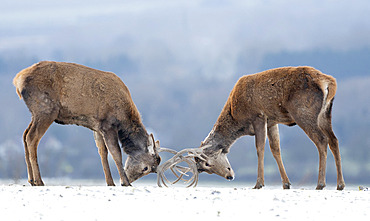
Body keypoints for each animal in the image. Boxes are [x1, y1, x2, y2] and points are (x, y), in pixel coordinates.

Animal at [13, 60, 161, 186]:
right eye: (146, 168)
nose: (129, 179)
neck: (123, 117)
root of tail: (17, 80)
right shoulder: (108, 124)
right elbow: (116, 153)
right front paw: (125, 182)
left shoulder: (97, 127)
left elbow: (102, 152)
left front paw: (110, 183)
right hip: (46, 109)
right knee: (31, 137)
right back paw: (39, 181)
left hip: (36, 113)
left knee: (24, 135)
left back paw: (31, 179)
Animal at [158, 65, 346, 190]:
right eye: (205, 170)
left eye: (207, 163)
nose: (229, 176)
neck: (236, 116)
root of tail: (329, 83)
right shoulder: (272, 121)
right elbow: (276, 149)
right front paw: (286, 183)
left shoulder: (259, 116)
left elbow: (260, 148)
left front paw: (259, 183)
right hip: (326, 113)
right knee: (334, 140)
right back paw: (340, 184)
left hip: (304, 112)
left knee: (321, 140)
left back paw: (321, 183)